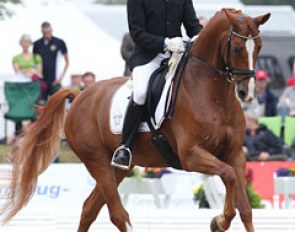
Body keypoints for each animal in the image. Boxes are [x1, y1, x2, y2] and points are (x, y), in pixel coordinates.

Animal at [1, 8, 270, 232]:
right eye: (237, 48)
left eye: (258, 46)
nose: (246, 93)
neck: (214, 96)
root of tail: (79, 95)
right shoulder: (191, 155)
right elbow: (228, 176)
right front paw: (219, 221)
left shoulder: (234, 154)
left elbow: (245, 207)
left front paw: (223, 219)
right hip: (96, 160)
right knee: (117, 214)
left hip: (119, 167)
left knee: (89, 208)